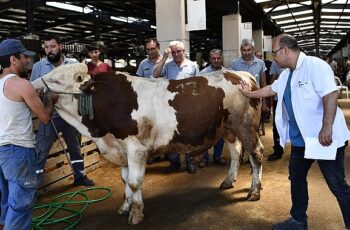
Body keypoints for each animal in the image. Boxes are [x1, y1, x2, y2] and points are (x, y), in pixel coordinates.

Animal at [31, 63, 264, 225]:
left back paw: (254, 191)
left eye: (56, 80)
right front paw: (125, 206)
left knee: (256, 154)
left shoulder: (136, 148)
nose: (30, 86)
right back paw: (229, 181)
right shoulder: (122, 150)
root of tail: (241, 74)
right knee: (236, 152)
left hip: (246, 127)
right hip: (228, 130)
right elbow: (125, 180)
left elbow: (135, 182)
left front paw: (136, 213)